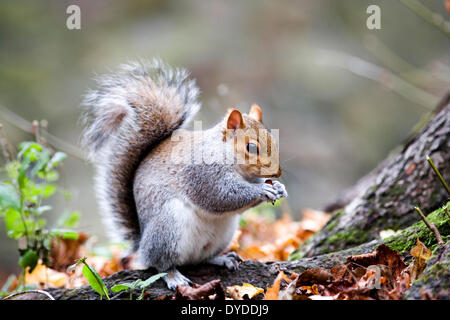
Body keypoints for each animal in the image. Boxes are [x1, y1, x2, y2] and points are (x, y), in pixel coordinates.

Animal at [81, 59, 286, 290]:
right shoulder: (203, 174)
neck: (228, 157)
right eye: (251, 147)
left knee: (201, 258)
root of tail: (141, 244)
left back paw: (221, 258)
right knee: (160, 264)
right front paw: (263, 190)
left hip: (223, 234)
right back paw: (173, 276)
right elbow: (222, 196)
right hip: (167, 227)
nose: (278, 172)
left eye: (273, 138)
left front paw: (279, 188)